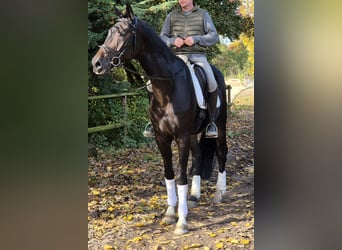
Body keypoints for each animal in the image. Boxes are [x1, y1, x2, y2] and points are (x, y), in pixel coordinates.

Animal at [92, 3, 228, 234]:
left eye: (123, 33)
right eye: (109, 32)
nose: (97, 64)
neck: (168, 87)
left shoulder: (181, 137)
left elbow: (181, 176)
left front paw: (182, 222)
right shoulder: (161, 138)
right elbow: (169, 174)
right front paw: (171, 213)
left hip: (219, 126)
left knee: (221, 153)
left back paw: (219, 192)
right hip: (194, 133)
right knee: (199, 155)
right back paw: (195, 196)